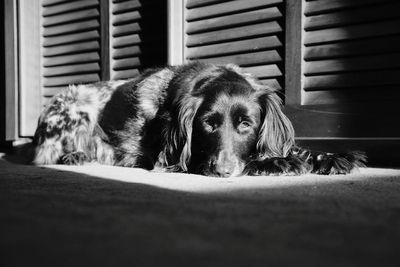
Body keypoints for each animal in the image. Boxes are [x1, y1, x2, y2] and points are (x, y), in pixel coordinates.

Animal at [32, 61, 368, 177]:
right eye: (208, 123)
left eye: (246, 124)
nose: (222, 171)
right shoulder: (172, 158)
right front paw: (275, 163)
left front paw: (331, 157)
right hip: (73, 103)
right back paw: (75, 156)